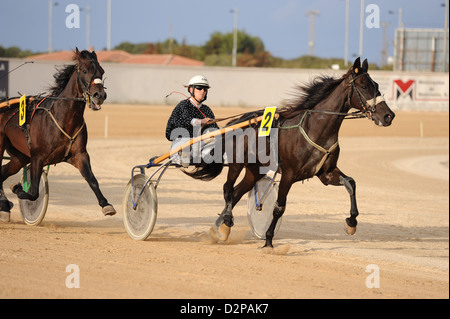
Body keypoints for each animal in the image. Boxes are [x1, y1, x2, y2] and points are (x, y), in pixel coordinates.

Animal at [0, 48, 116, 222]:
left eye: (101, 71)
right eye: (84, 70)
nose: (99, 95)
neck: (64, 118)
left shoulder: (80, 155)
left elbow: (92, 180)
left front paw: (106, 205)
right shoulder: (37, 157)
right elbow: (33, 192)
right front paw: (18, 187)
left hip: (20, 156)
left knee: (2, 172)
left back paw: (4, 205)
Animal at [183, 58, 394, 248]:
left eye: (377, 85)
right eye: (364, 86)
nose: (388, 116)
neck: (315, 129)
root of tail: (238, 121)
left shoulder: (325, 173)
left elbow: (351, 183)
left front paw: (351, 223)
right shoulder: (289, 174)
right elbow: (279, 207)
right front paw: (268, 240)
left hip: (254, 170)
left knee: (236, 193)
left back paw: (219, 227)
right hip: (236, 163)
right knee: (227, 189)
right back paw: (225, 224)